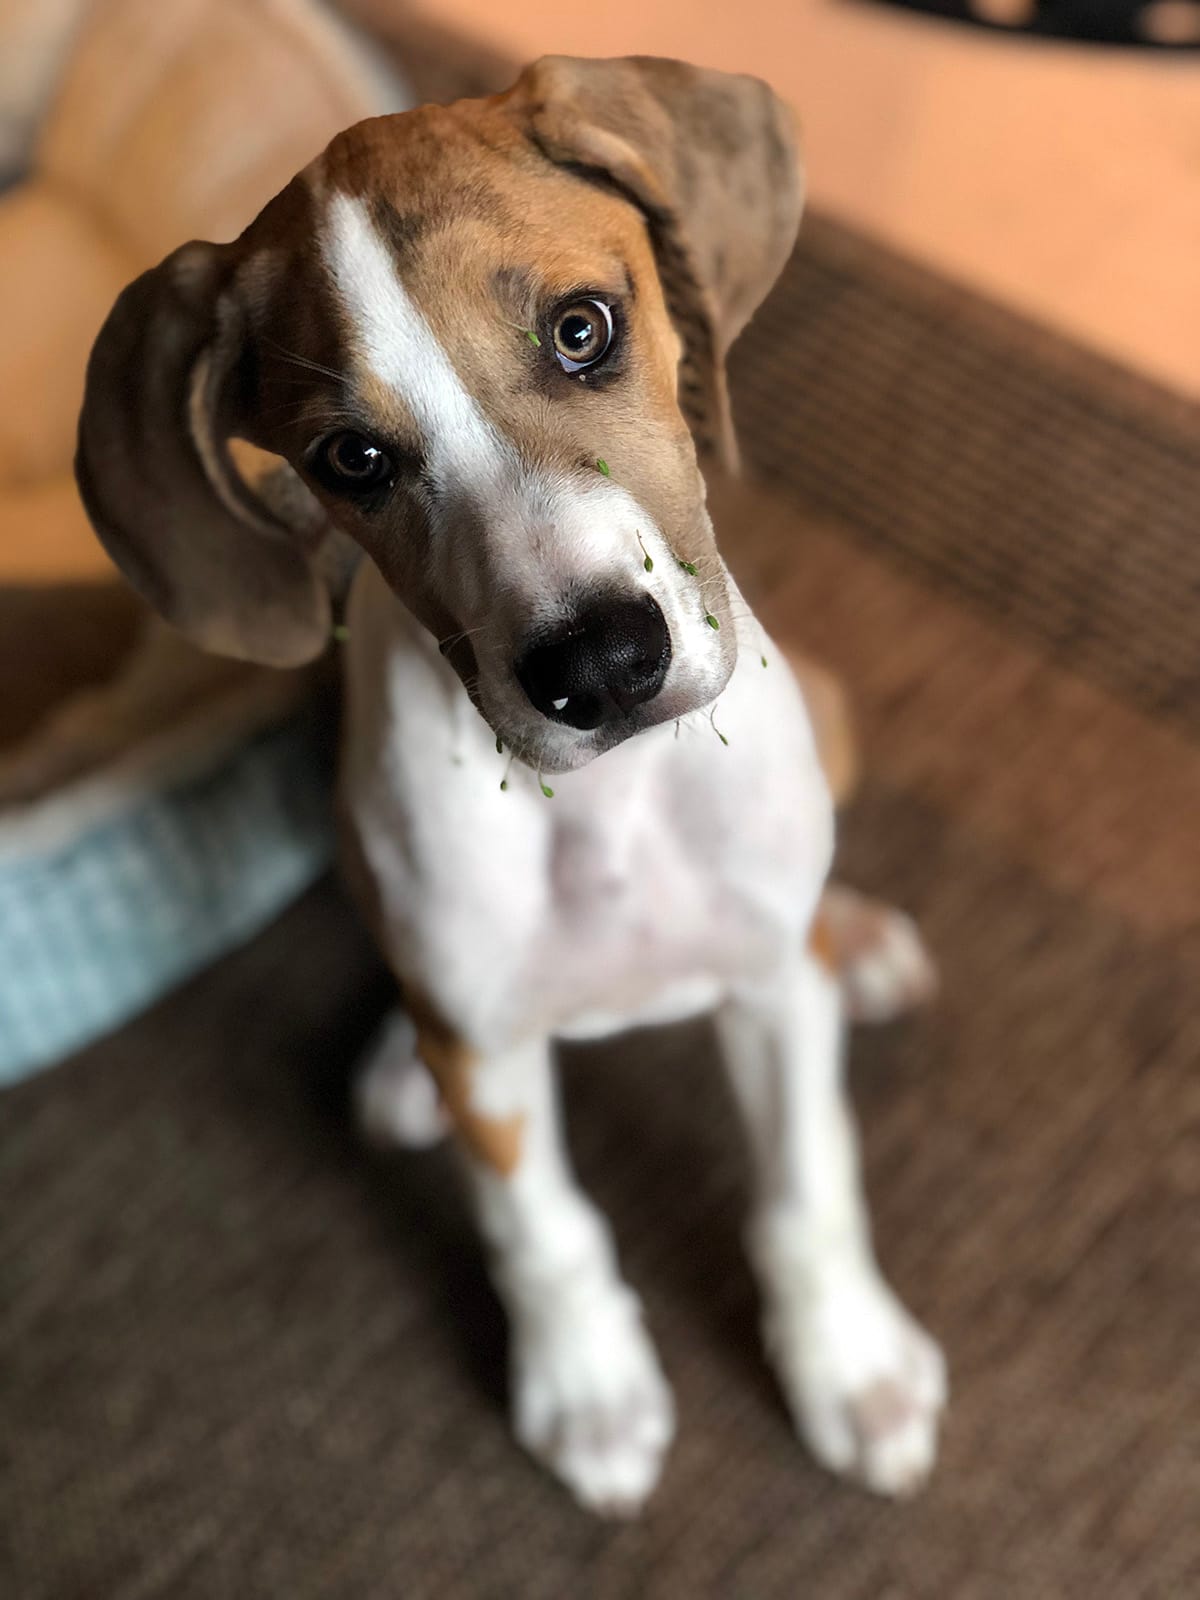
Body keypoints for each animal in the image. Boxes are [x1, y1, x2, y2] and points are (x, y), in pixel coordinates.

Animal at [76, 55, 946, 1516]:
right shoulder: (492, 1061)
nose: (597, 667)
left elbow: (805, 1184)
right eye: (353, 460)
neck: (609, 809)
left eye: (582, 328)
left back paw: (863, 937)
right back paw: (401, 1068)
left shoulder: (769, 992)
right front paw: (589, 1390)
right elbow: (542, 1226)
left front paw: (848, 1364)